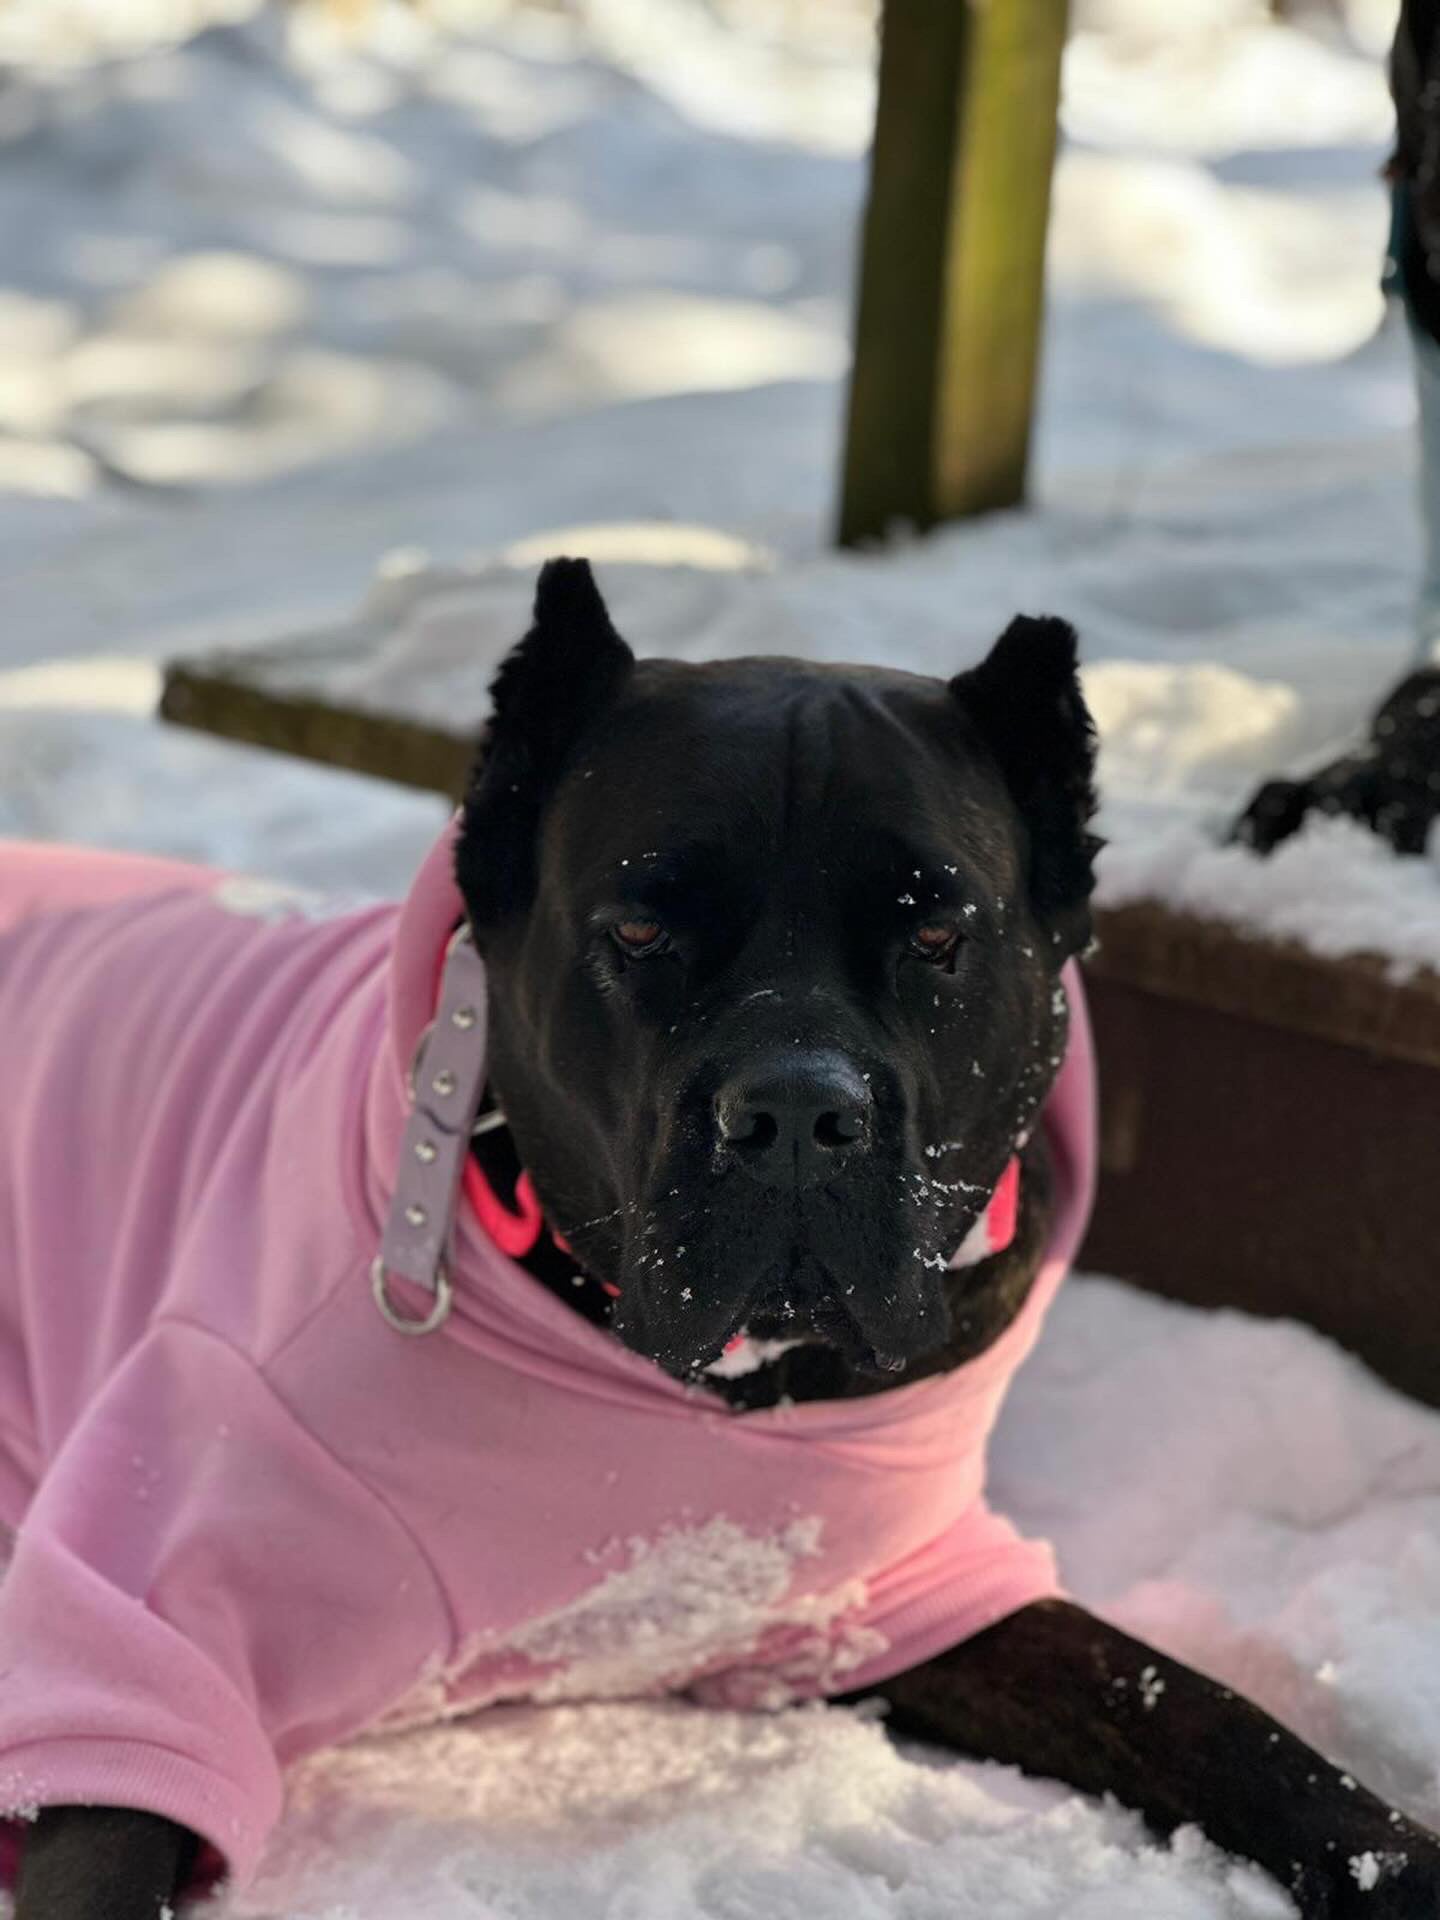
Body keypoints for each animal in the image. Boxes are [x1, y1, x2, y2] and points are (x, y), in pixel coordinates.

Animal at [11, 560, 1440, 1920]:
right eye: (641, 928)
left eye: (937, 933)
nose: (798, 1110)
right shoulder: (139, 1622)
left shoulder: (910, 1588)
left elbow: (1206, 1716)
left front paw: (1397, 1858)